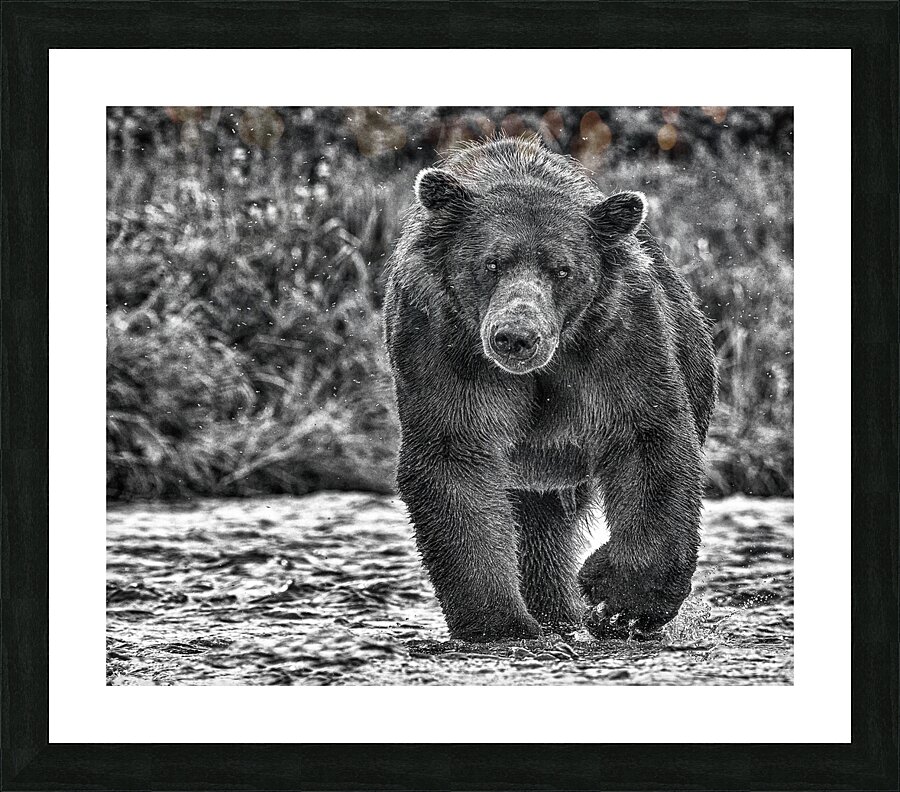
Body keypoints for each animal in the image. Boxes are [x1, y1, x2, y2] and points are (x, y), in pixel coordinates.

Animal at [383, 136, 717, 641]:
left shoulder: (616, 343)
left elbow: (647, 441)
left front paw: (619, 600)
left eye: (562, 269)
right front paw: (499, 621)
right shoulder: (443, 343)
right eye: (491, 263)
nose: (516, 336)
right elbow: (454, 460)